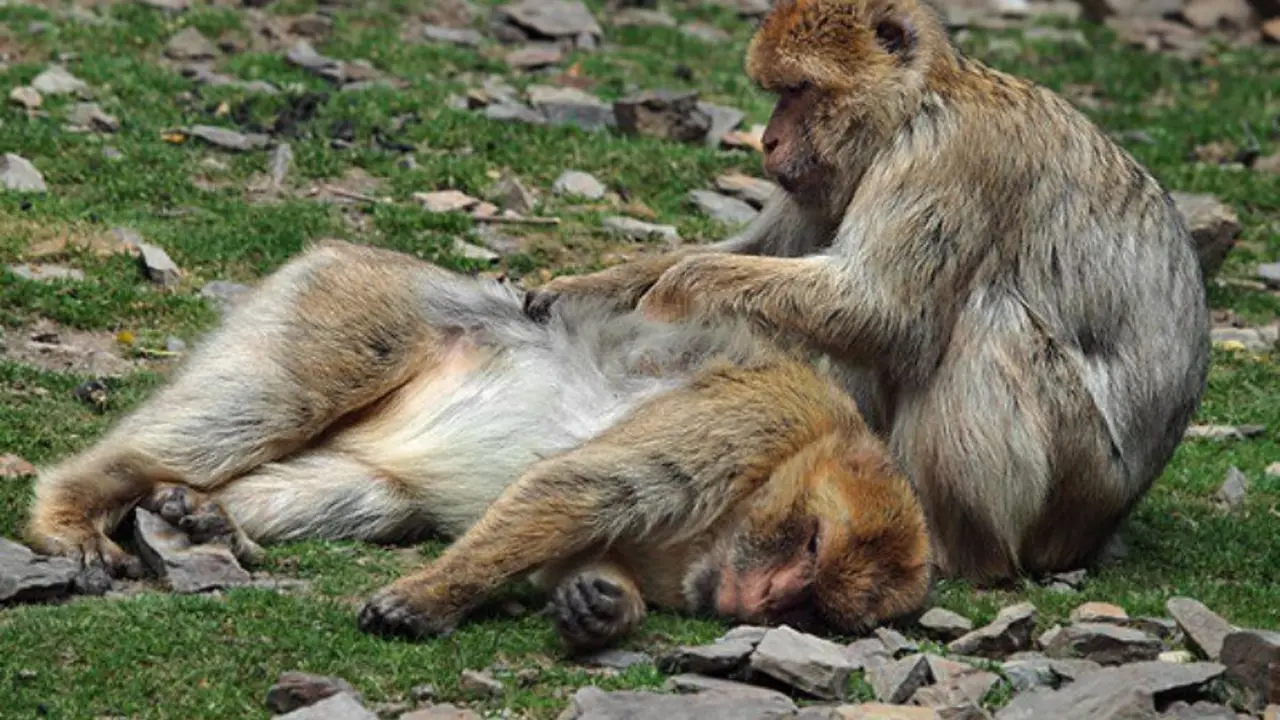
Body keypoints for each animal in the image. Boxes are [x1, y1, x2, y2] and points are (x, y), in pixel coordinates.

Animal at [23, 239, 931, 650]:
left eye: (809, 609)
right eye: (808, 548)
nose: (763, 602)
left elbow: (577, 552)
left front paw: (600, 604)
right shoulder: (755, 418)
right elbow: (580, 486)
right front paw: (427, 600)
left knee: (368, 494)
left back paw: (210, 519)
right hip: (353, 310)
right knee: (260, 406)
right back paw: (73, 509)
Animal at [524, 0, 1212, 584]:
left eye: (798, 90)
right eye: (778, 93)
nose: (769, 141)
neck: (916, 103)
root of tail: (1109, 524)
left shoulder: (945, 155)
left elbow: (884, 310)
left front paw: (667, 297)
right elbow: (772, 254)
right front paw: (584, 291)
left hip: (1080, 484)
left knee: (987, 317)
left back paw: (965, 552)